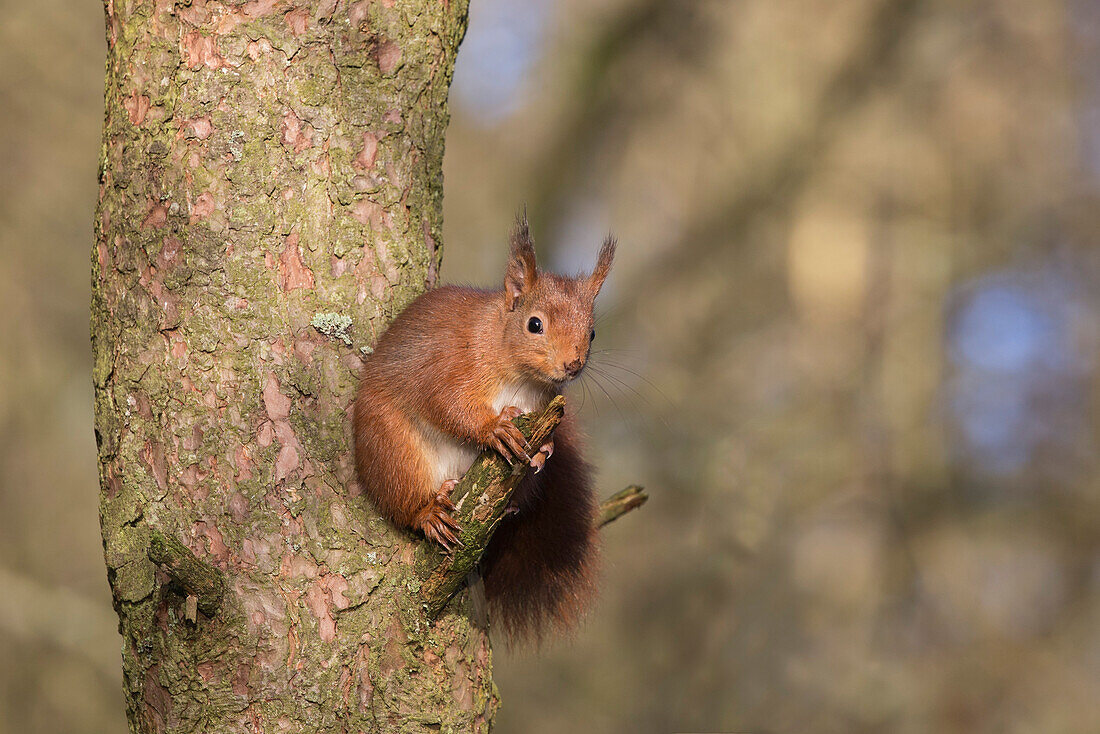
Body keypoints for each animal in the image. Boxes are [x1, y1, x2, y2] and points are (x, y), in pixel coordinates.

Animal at [352, 215, 616, 638]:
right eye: (534, 324)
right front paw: (494, 428)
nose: (572, 365)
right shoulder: (447, 364)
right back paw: (429, 511)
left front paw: (544, 450)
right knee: (404, 501)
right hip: (392, 449)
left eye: (591, 332)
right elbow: (446, 403)